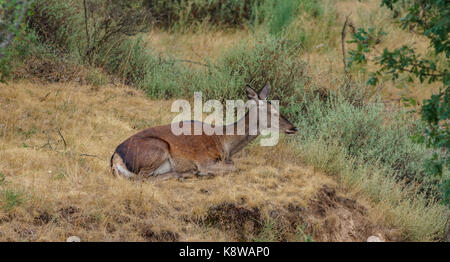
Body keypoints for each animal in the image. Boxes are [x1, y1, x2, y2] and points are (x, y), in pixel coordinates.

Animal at [110, 85, 298, 181]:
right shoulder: (204, 160)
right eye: (273, 112)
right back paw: (186, 173)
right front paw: (203, 172)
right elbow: (234, 167)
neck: (224, 141)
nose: (294, 128)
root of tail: (115, 158)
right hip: (158, 148)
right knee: (143, 178)